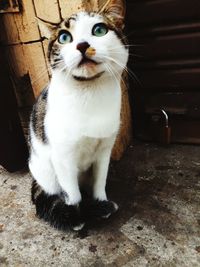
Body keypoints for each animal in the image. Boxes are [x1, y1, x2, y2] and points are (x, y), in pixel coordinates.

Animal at [28, 0, 128, 231]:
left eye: (99, 30)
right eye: (64, 37)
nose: (82, 45)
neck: (89, 93)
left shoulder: (105, 149)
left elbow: (100, 181)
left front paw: (100, 204)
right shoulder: (62, 156)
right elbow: (71, 193)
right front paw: (75, 216)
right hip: (45, 170)